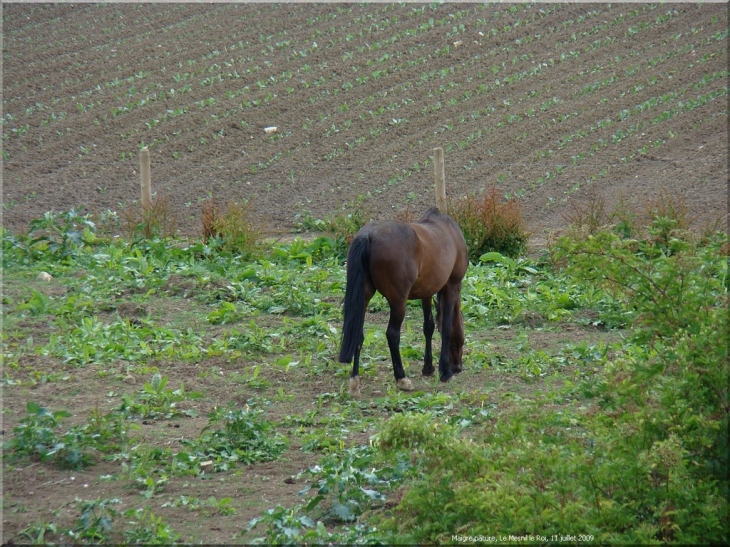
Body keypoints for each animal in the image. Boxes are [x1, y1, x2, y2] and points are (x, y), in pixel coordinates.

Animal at [336, 208, 466, 396]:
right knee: (392, 334)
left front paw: (428, 368)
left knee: (357, 334)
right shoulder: (451, 288)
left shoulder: (426, 292)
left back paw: (355, 383)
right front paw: (445, 371)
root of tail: (368, 235)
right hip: (398, 302)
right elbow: (447, 328)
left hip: (364, 297)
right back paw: (402, 378)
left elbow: (428, 327)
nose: (458, 367)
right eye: (462, 339)